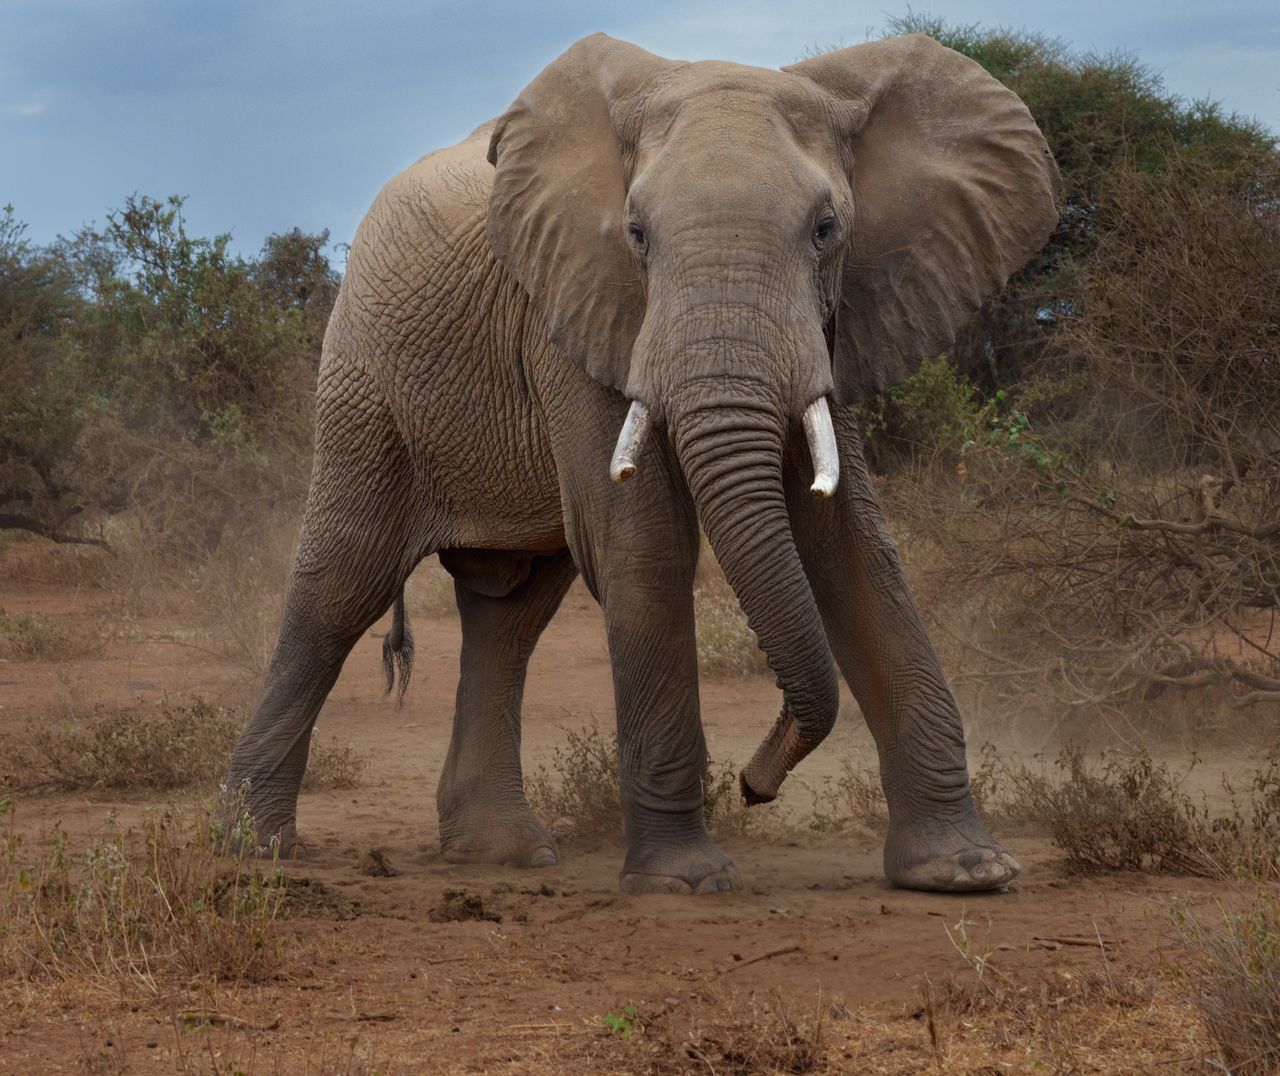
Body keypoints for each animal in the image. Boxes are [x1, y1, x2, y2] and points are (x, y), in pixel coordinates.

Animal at [222, 29, 1059, 895]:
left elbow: (853, 548)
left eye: (828, 228)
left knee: (509, 612)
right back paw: (257, 847)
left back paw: (504, 853)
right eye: (636, 235)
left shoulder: (837, 321)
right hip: (366, 383)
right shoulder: (573, 309)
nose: (755, 783)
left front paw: (967, 870)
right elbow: (647, 544)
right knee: (341, 586)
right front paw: (686, 881)